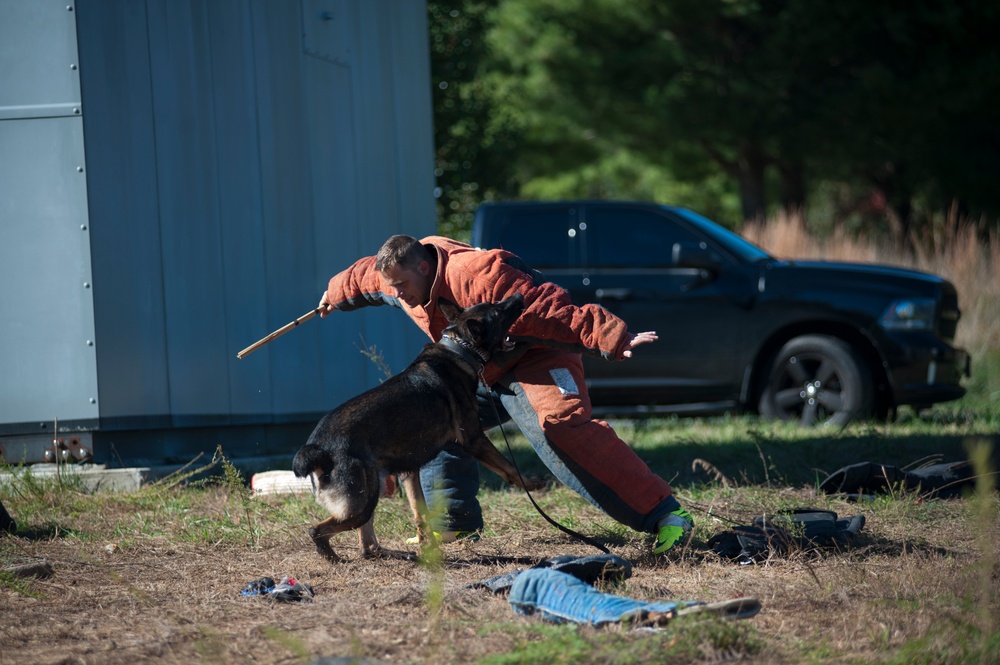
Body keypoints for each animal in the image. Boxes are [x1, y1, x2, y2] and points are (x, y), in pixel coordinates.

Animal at [292, 294, 548, 556]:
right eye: (497, 311)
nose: (519, 297)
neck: (459, 349)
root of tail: (317, 448)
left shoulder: (409, 471)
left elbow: (420, 513)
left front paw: (429, 547)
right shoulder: (474, 440)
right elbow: (509, 467)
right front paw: (533, 483)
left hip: (372, 490)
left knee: (367, 545)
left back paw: (396, 554)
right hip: (361, 501)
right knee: (318, 530)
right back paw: (332, 557)